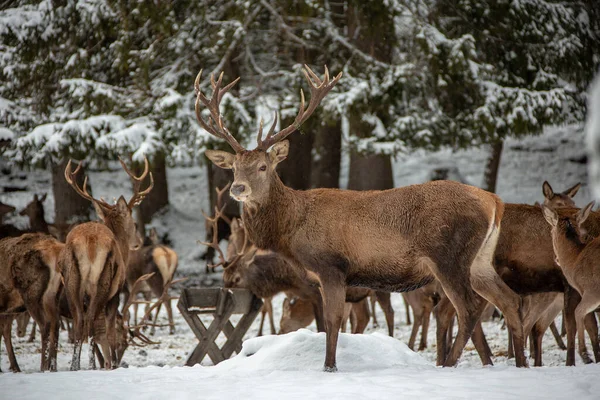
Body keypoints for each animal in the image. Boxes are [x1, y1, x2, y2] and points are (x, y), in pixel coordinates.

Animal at [0, 231, 64, 372]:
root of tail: (55, 250)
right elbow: (5, 331)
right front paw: (14, 367)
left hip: (31, 293)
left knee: (45, 324)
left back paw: (43, 367)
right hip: (53, 295)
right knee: (55, 323)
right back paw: (52, 366)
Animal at [59, 155, 154, 368]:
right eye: (135, 224)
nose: (138, 242)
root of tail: (89, 242)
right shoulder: (116, 293)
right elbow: (110, 333)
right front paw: (113, 364)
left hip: (72, 281)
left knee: (79, 322)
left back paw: (75, 367)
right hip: (103, 280)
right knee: (90, 322)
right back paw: (92, 366)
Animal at [196, 65, 520, 372]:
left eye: (263, 166)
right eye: (234, 168)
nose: (238, 188)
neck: (292, 231)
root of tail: (494, 201)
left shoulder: (331, 266)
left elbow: (332, 321)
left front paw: (329, 367)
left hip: (449, 256)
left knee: (469, 307)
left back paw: (450, 363)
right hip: (479, 261)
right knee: (509, 300)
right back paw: (516, 363)